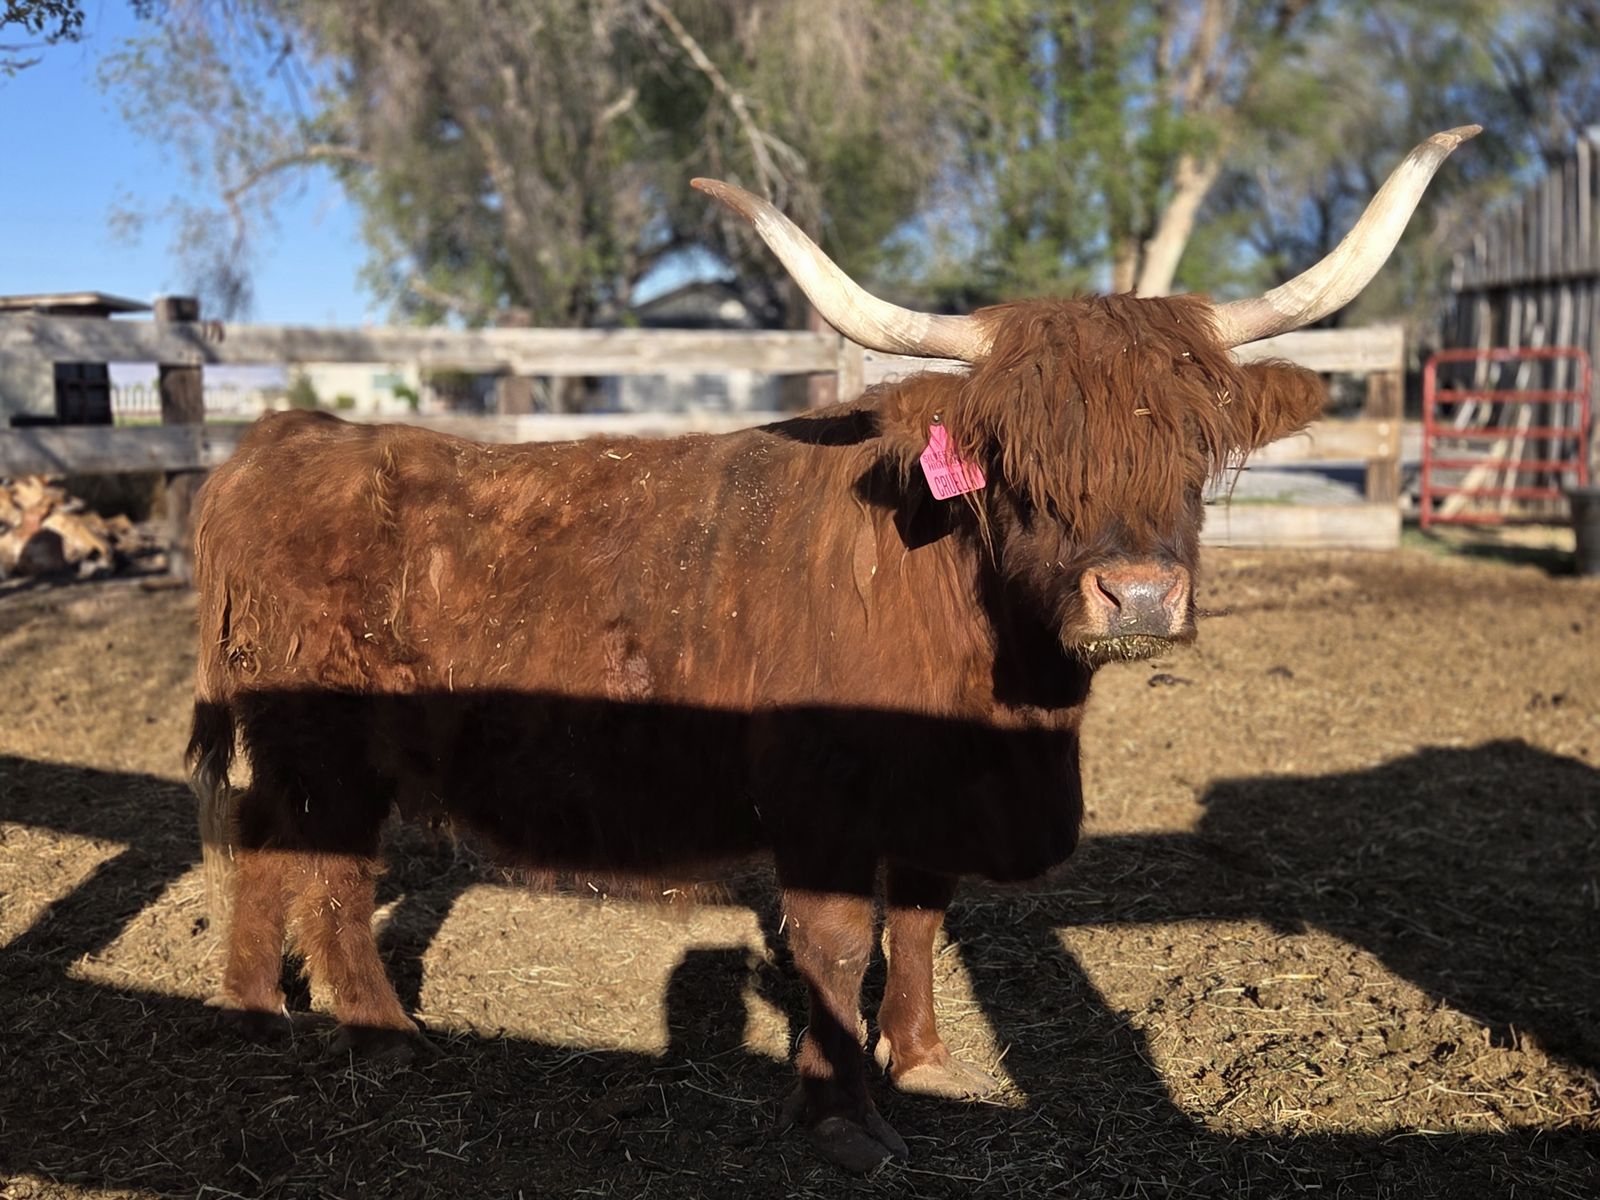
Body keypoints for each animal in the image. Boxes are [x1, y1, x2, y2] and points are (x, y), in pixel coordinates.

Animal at [188, 127, 1477, 1171]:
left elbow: (918, 917)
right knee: (330, 877)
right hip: (326, 744)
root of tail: (285, 439)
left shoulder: (936, 794)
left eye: (1194, 449)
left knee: (260, 844)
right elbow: (833, 941)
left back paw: (252, 1008)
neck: (1008, 704)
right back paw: (382, 1036)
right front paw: (842, 1116)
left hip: (296, 749)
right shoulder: (818, 797)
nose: (1139, 596)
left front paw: (921, 1055)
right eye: (1015, 459)